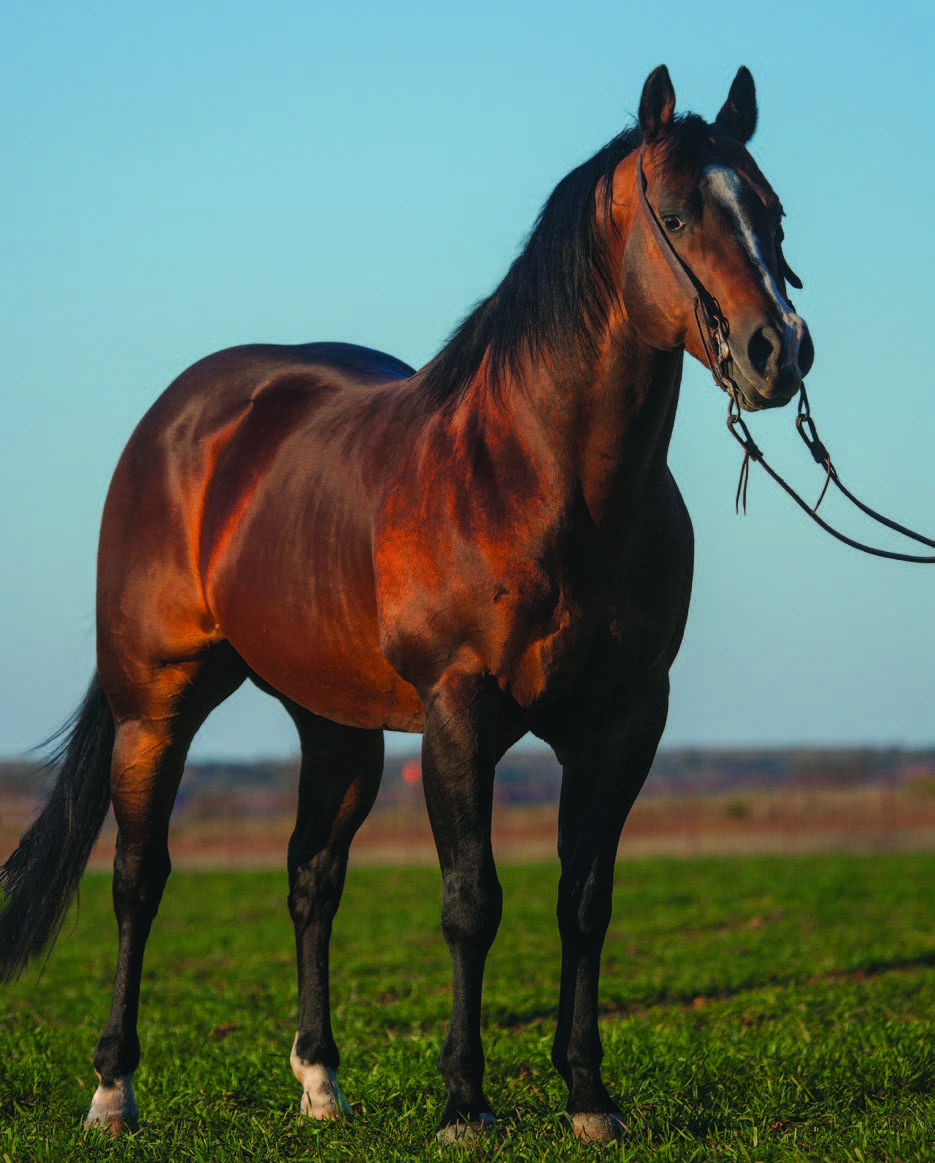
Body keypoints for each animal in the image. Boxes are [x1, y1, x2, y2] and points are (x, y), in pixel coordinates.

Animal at [0, 65, 811, 1143]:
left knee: (311, 877)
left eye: (770, 212)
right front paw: (463, 1102)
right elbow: (471, 900)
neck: (544, 480)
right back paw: (112, 1093)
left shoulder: (625, 719)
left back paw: (319, 1084)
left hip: (335, 725)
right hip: (155, 705)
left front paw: (588, 1097)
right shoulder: (460, 714)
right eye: (676, 213)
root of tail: (182, 418)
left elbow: (584, 901)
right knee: (139, 878)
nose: (778, 351)